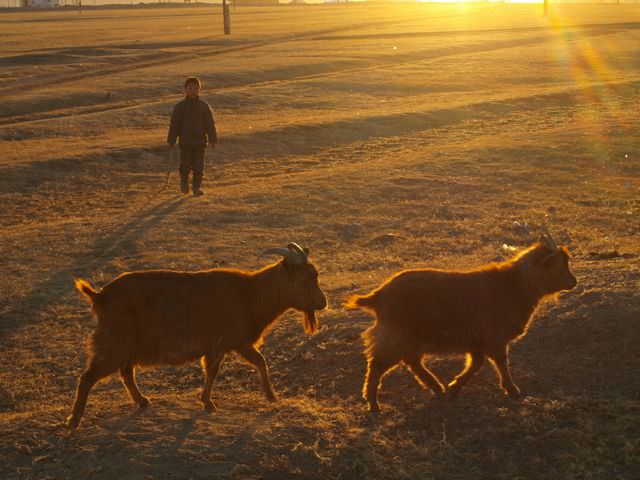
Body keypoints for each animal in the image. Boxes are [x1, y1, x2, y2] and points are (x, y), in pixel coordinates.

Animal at [68, 242, 328, 434]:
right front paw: (208, 403)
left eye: (315, 275)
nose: (322, 303)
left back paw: (141, 401)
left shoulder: (237, 343)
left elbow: (259, 362)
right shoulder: (222, 344)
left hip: (128, 345)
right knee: (88, 377)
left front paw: (271, 397)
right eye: (304, 279)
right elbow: (214, 371)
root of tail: (99, 296)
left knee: (126, 372)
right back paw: (74, 421)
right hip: (115, 342)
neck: (250, 294)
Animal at [348, 234, 576, 410]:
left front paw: (454, 387)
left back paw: (436, 387)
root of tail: (377, 296)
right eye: (559, 266)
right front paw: (512, 390)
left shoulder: (478, 341)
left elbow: (476, 364)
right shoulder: (494, 338)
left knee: (411, 360)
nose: (574, 282)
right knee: (378, 364)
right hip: (397, 336)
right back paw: (373, 403)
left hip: (409, 338)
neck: (514, 285)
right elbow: (501, 363)